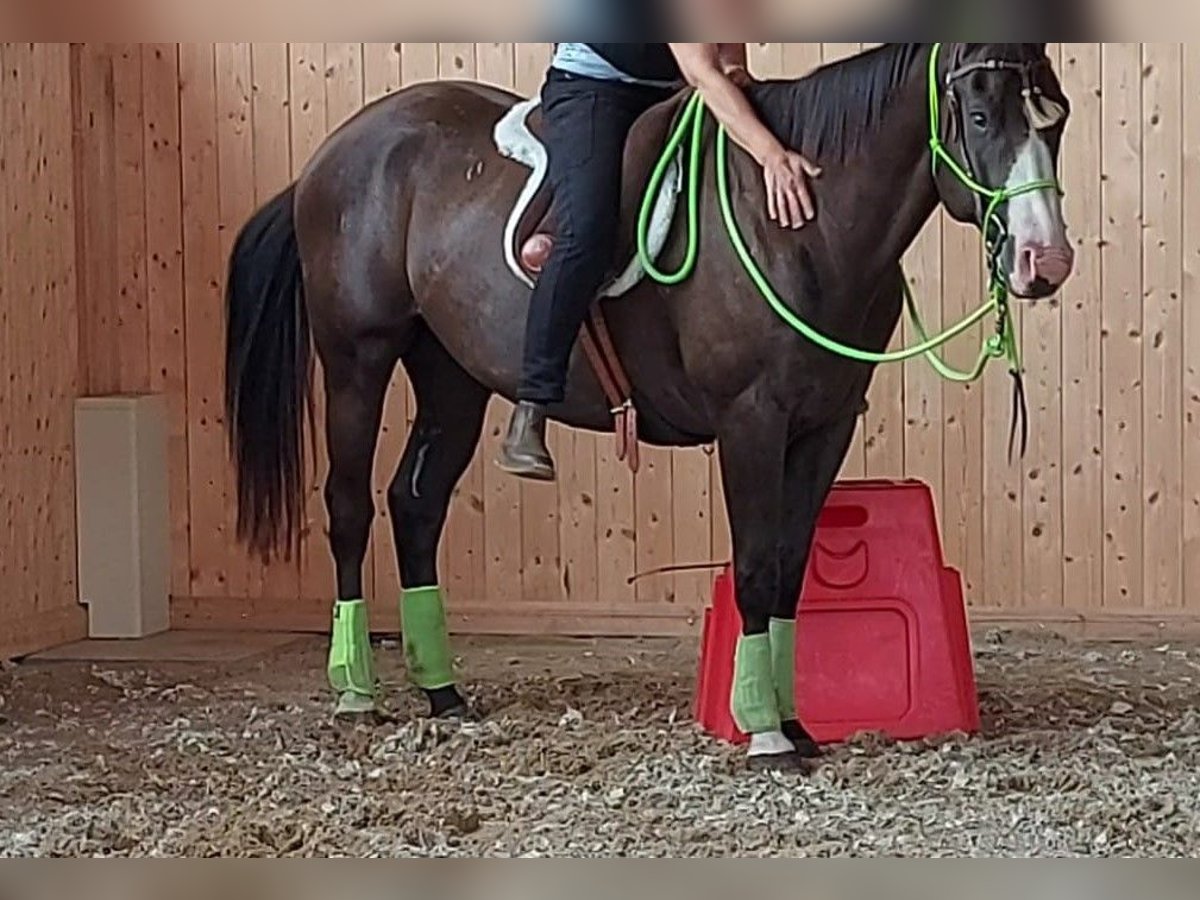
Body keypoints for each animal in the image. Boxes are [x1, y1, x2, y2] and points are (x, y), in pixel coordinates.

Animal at [225, 43, 1074, 770]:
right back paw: (355, 692)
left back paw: (443, 692)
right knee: (348, 507)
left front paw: (793, 721)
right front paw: (765, 733)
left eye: (1055, 117)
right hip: (357, 358)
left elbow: (791, 568)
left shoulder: (825, 425)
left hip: (451, 374)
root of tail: (335, 154)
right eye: (978, 116)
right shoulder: (750, 419)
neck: (800, 224)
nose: (1047, 260)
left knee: (416, 504)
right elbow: (757, 566)